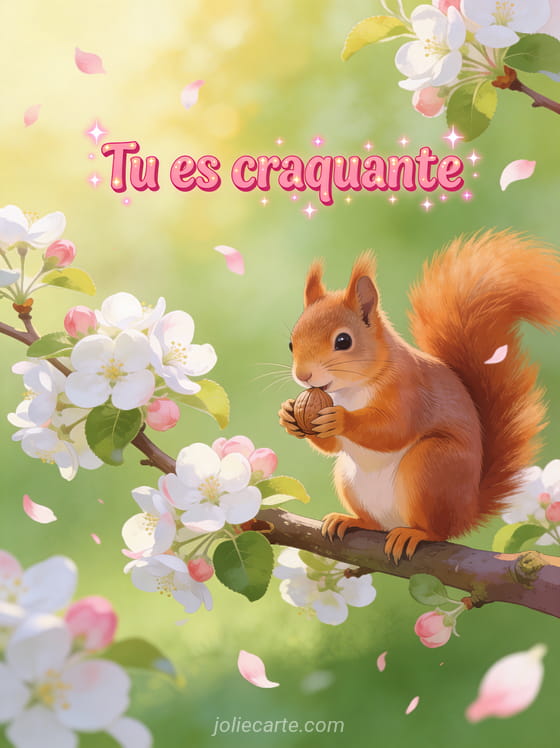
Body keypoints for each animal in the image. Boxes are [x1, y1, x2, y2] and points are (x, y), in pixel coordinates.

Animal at [279, 230, 560, 563]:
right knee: (376, 523)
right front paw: (289, 414)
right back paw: (352, 520)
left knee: (438, 530)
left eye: (343, 341)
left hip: (431, 465)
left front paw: (341, 419)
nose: (303, 376)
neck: (352, 389)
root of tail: (467, 511)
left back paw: (415, 534)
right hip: (349, 478)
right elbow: (332, 446)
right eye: (291, 343)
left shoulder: (411, 391)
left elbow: (394, 429)